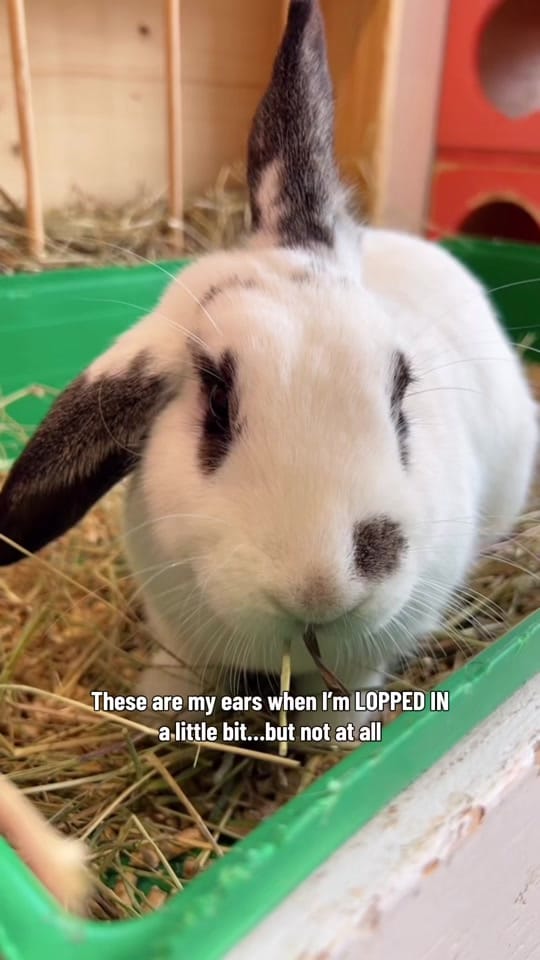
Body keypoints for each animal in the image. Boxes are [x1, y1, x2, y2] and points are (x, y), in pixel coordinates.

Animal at [0, 0, 537, 741]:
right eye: (216, 405)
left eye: (401, 391)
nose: (321, 587)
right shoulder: (180, 631)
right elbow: (183, 678)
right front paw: (155, 714)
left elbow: (347, 694)